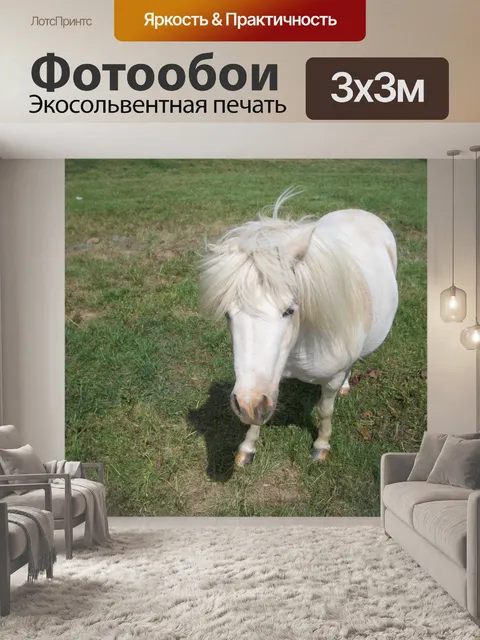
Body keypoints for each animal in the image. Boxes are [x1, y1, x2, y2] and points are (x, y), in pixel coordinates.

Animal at [199, 189, 398, 467]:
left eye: (290, 310)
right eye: (228, 314)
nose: (248, 405)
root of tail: (359, 211)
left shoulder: (331, 379)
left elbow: (325, 411)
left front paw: (321, 446)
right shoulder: (270, 379)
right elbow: (258, 418)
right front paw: (247, 448)